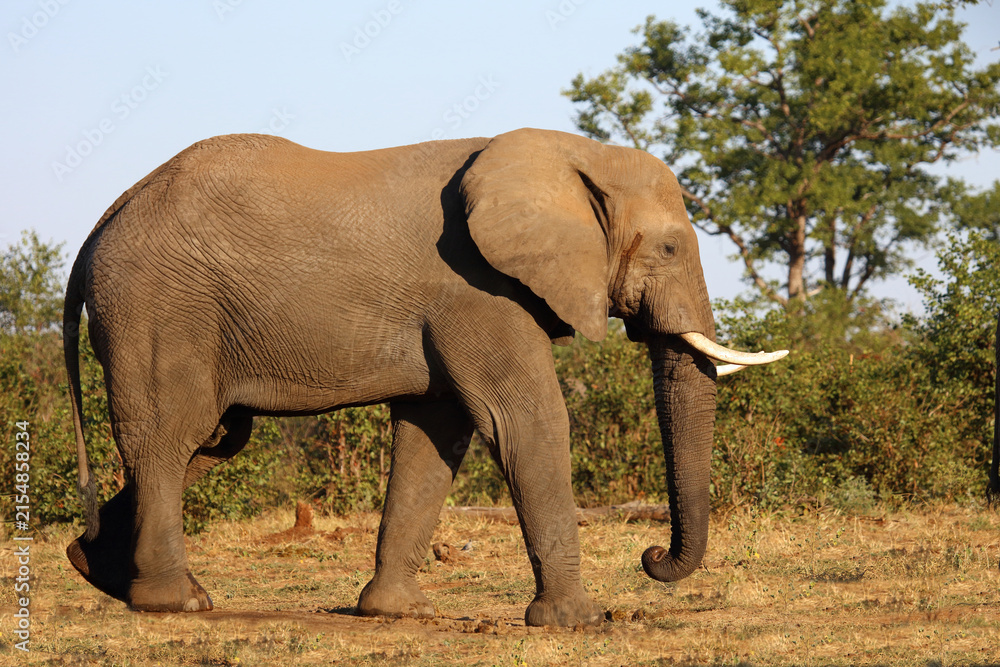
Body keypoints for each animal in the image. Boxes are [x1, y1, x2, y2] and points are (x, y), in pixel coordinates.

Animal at [63, 128, 787, 627]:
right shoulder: (477, 289)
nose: (651, 555)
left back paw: (93, 569)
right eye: (668, 247)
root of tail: (103, 218)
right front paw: (581, 622)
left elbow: (434, 436)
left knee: (210, 439)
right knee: (171, 437)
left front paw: (396, 612)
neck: (571, 154)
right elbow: (526, 420)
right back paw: (177, 601)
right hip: (159, 308)